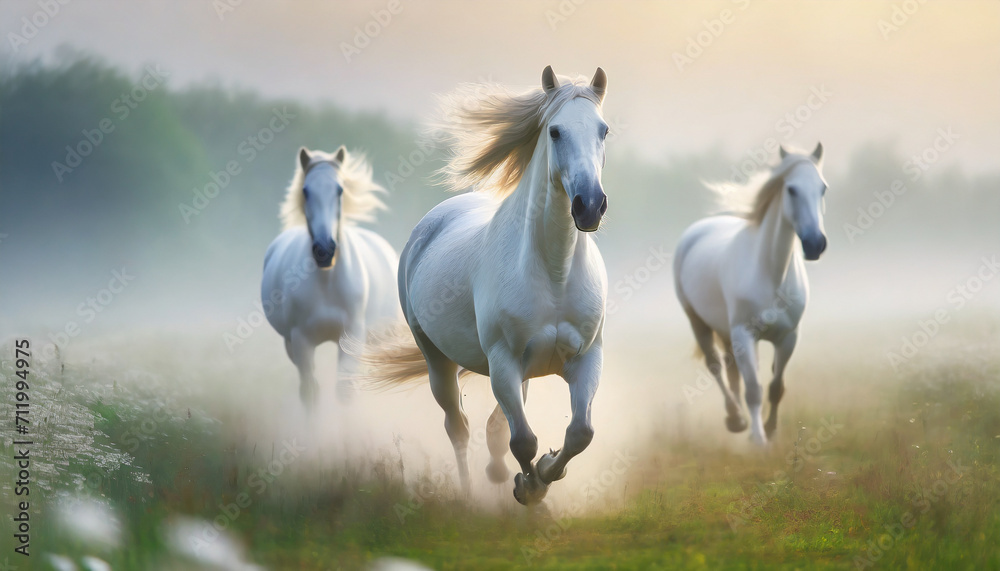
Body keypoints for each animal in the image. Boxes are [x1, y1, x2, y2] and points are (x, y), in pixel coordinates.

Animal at [261, 146, 400, 408]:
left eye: (339, 190)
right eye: (305, 191)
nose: (324, 250)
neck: (327, 282)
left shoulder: (352, 336)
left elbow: (345, 390)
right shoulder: (300, 341)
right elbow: (310, 392)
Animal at [361, 66, 611, 505]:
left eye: (604, 130)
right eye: (555, 131)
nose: (589, 206)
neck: (555, 272)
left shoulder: (586, 358)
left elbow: (580, 433)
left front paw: (545, 473)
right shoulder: (503, 363)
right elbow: (523, 440)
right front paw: (529, 488)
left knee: (495, 427)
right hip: (437, 360)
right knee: (457, 426)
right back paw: (467, 496)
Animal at [673, 143, 828, 446]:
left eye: (823, 188)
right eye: (791, 189)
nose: (815, 244)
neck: (771, 274)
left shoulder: (788, 337)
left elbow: (775, 386)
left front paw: (770, 428)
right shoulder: (744, 334)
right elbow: (754, 388)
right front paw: (758, 439)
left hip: (727, 331)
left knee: (732, 370)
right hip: (699, 322)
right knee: (716, 366)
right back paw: (735, 418)